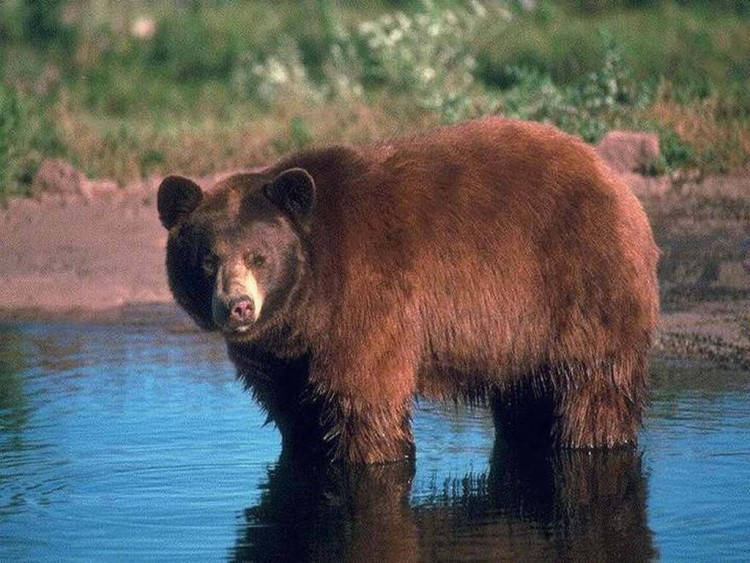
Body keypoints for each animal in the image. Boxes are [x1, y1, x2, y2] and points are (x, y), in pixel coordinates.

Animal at [157, 117, 656, 464]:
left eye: (259, 256)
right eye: (208, 259)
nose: (238, 307)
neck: (308, 301)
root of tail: (611, 177)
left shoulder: (366, 297)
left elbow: (365, 395)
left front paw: (369, 452)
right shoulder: (281, 352)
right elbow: (292, 409)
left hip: (580, 284)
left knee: (593, 385)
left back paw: (592, 438)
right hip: (521, 334)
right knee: (528, 395)